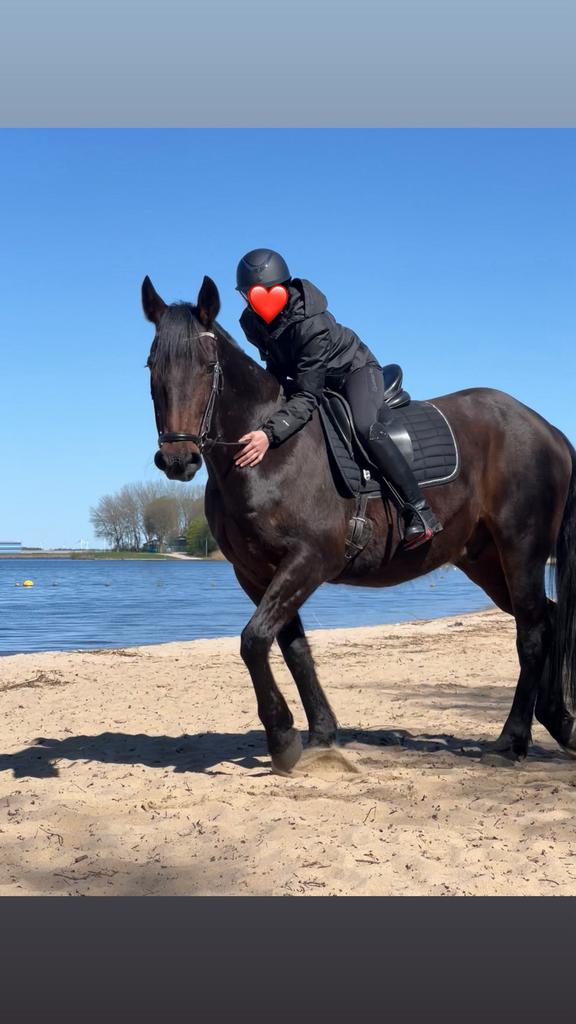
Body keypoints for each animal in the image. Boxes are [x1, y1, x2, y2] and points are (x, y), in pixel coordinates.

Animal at [142, 273, 576, 775]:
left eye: (207, 365)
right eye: (152, 365)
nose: (178, 460)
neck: (269, 452)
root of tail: (547, 429)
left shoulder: (309, 560)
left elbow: (254, 640)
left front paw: (282, 737)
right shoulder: (254, 573)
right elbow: (291, 647)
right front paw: (319, 735)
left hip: (521, 547)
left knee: (532, 631)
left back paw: (512, 739)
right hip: (484, 560)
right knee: (548, 616)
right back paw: (559, 721)